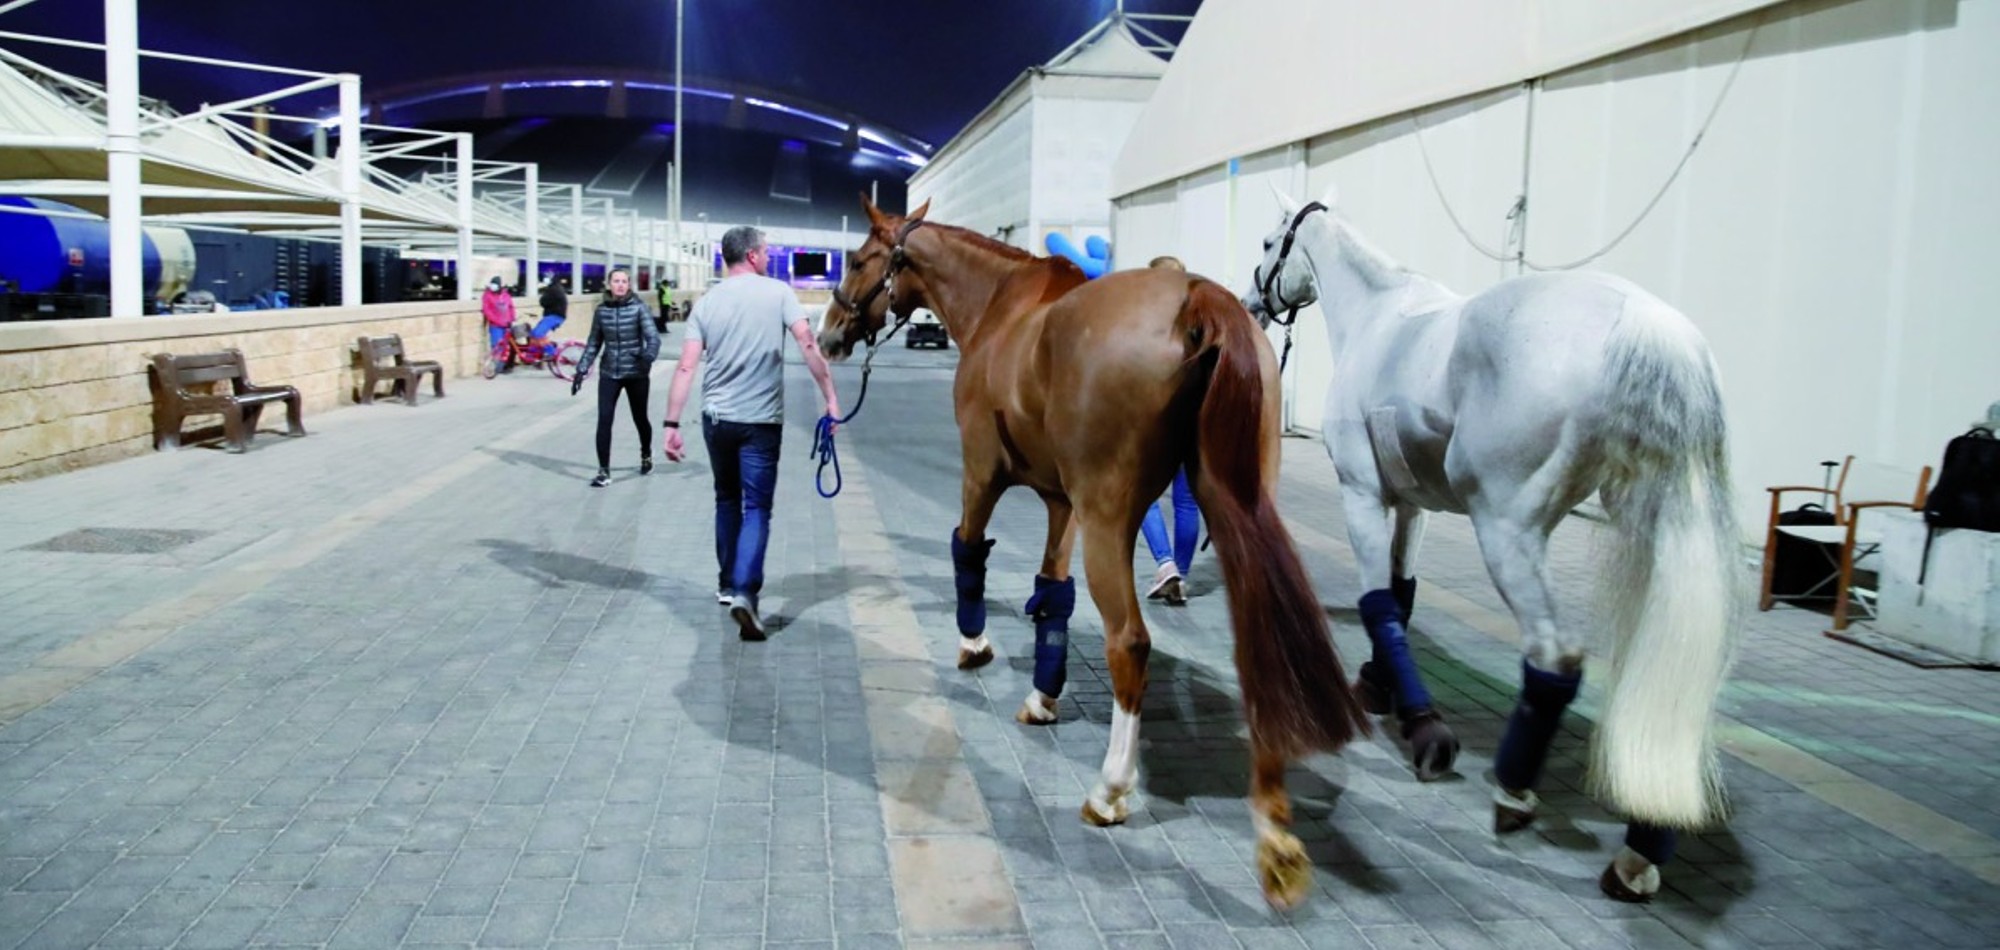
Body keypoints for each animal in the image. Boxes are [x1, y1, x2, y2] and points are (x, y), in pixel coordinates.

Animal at [820, 199, 1368, 908]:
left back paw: (1110, 789)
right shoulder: (1062, 503)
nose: (828, 334)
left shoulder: (982, 473)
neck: (1002, 306)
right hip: (1239, 501)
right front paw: (1042, 696)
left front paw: (974, 645)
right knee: (1256, 638)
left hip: (1112, 518)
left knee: (1129, 641)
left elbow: (968, 551)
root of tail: (1196, 298)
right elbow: (1052, 593)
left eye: (859, 260)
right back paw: (1274, 831)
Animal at [1240, 188, 1744, 908]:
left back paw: (1515, 791)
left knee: (1554, 658)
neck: (1377, 317)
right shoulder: (1412, 503)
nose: (1252, 303)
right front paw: (1380, 685)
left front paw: (1425, 730)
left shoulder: (1362, 494)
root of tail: (1651, 328)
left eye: (1266, 243)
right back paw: (1642, 847)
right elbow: (1400, 596)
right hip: (1653, 526)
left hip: (1507, 531)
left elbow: (1376, 600)